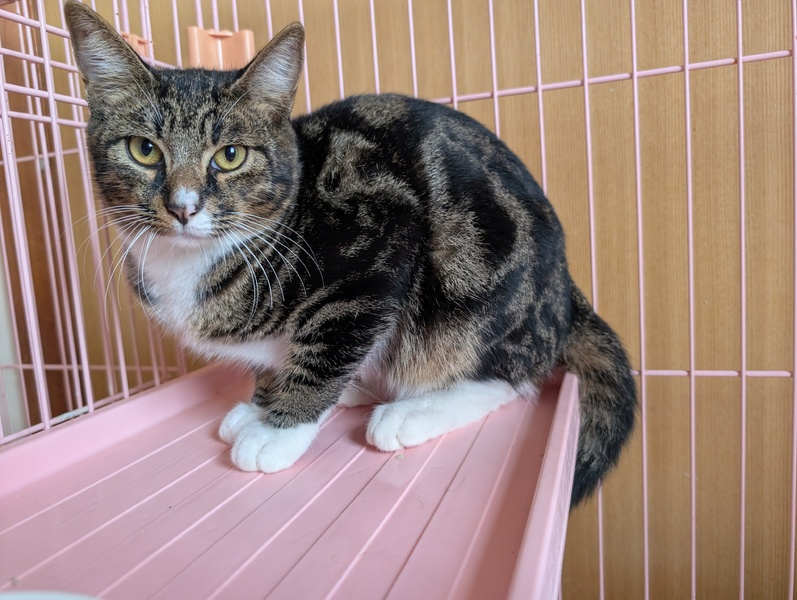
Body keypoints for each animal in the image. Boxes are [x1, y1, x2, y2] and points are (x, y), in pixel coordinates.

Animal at [64, 0, 636, 507]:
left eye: (229, 156)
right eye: (144, 149)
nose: (182, 206)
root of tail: (566, 292)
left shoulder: (378, 242)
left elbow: (329, 344)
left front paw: (279, 428)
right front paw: (261, 403)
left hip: (477, 293)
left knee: (511, 376)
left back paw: (410, 411)